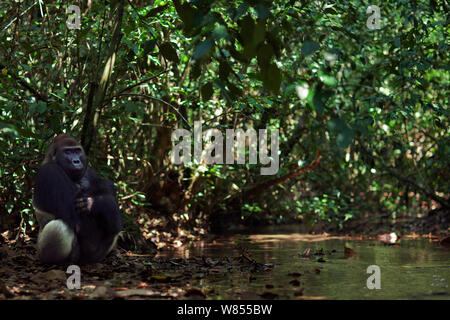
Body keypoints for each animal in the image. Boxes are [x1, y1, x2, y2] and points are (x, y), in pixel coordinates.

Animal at [32, 133, 122, 264]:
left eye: (77, 151)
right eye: (68, 152)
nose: (76, 161)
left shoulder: (89, 170)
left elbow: (108, 196)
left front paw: (99, 202)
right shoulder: (50, 172)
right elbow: (79, 223)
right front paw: (95, 203)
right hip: (42, 253)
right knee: (59, 228)